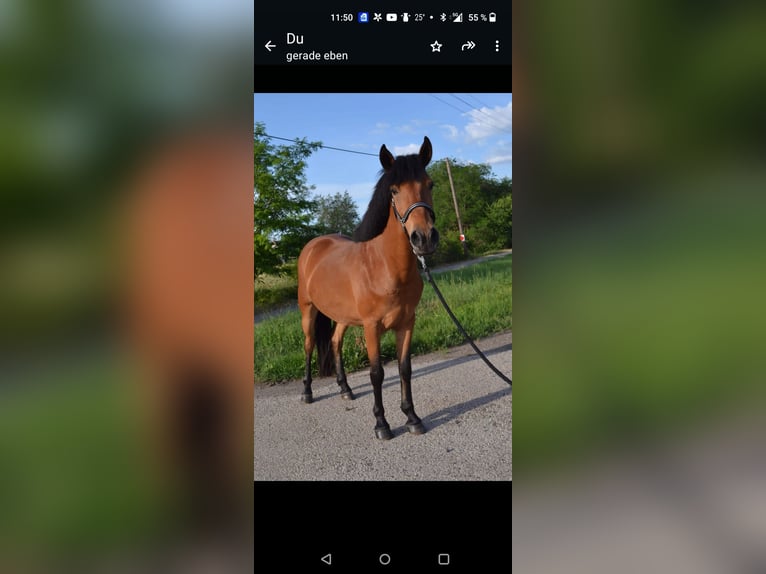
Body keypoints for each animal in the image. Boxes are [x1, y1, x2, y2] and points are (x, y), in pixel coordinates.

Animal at [297, 136, 439, 440]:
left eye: (430, 184)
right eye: (394, 190)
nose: (424, 238)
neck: (384, 266)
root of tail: (314, 246)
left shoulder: (407, 322)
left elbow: (405, 368)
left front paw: (412, 417)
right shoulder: (372, 327)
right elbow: (377, 374)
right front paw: (382, 424)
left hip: (342, 316)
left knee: (335, 342)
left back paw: (345, 389)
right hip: (308, 311)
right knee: (309, 345)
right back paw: (307, 392)